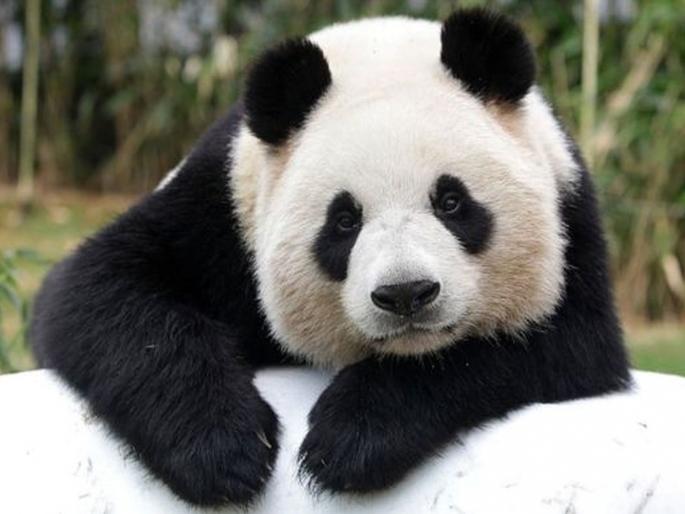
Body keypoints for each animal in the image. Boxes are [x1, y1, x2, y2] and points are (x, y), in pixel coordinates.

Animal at [30, 8, 631, 508]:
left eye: (451, 202)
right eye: (344, 221)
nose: (406, 295)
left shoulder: (570, 218)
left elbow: (554, 345)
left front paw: (351, 439)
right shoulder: (220, 210)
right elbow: (99, 290)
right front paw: (225, 450)